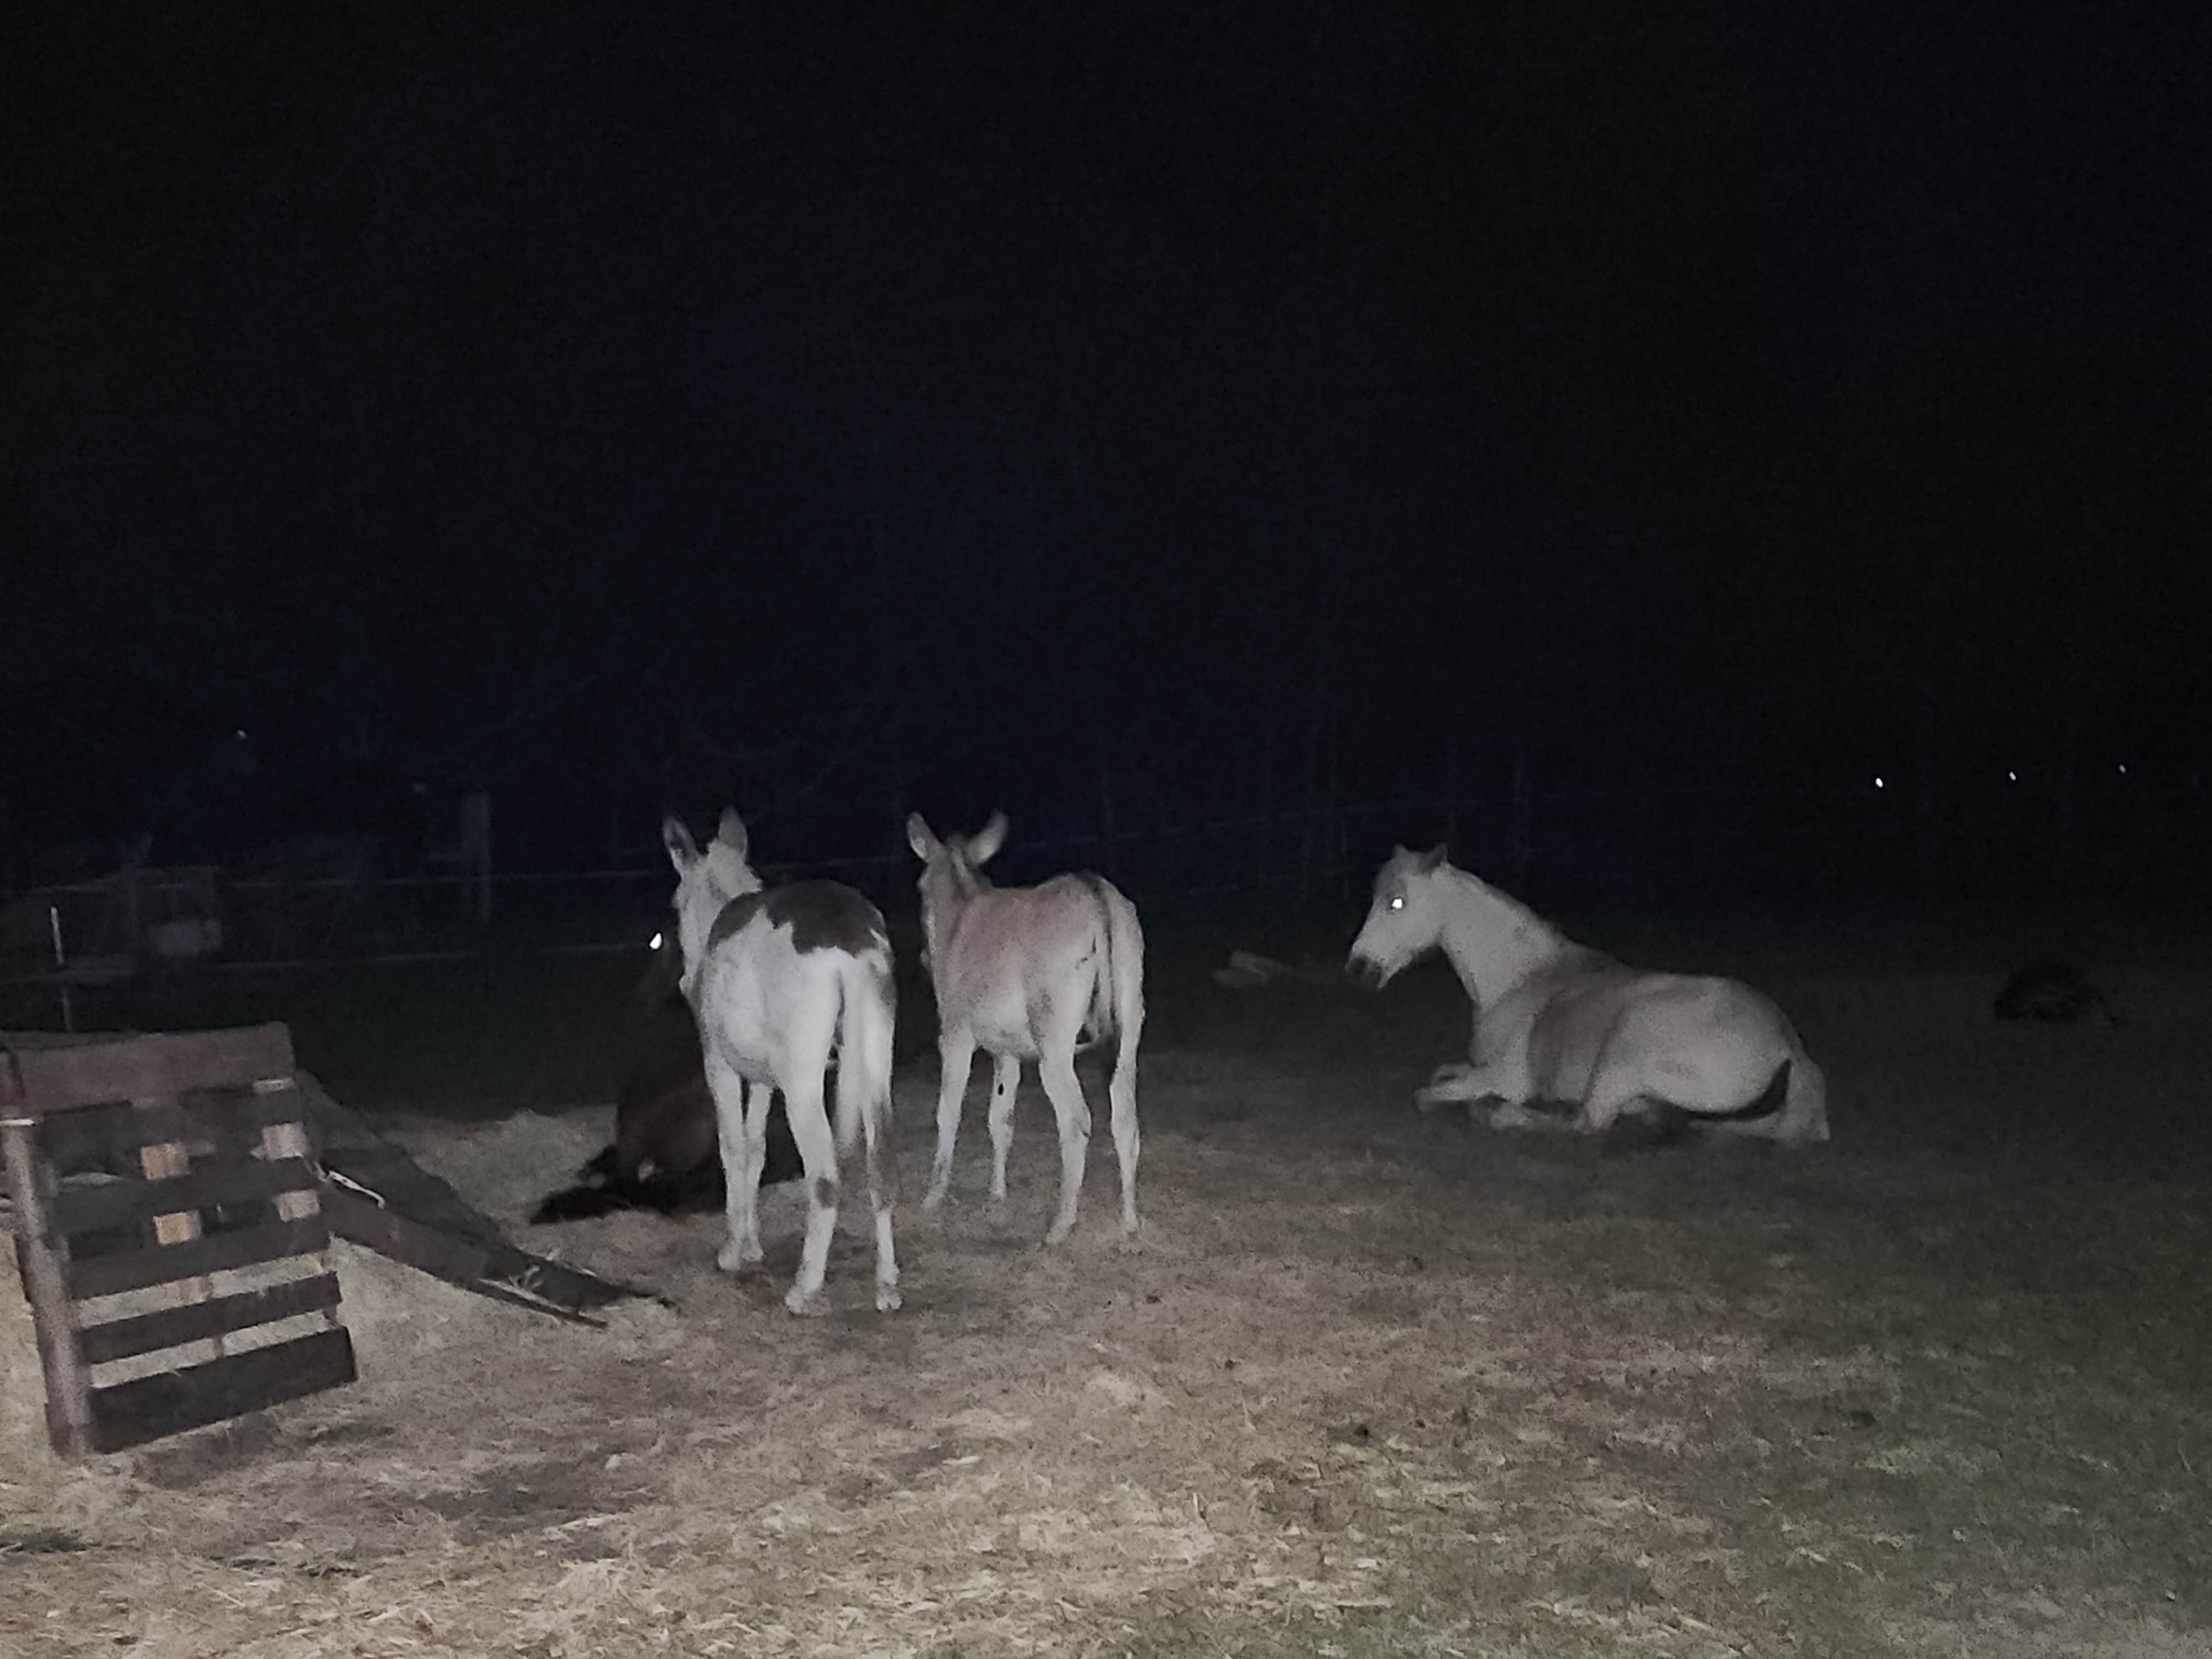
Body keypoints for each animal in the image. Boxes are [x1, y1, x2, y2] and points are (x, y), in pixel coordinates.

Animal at [663, 808, 900, 1313]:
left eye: (676, 904)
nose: (685, 982)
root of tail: (849, 943)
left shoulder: (720, 1065)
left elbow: (733, 1148)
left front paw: (733, 1249)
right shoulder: (763, 1078)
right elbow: (756, 1148)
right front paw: (752, 1244)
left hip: (803, 1077)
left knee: (825, 1176)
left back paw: (805, 1287)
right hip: (875, 1054)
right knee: (882, 1162)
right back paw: (887, 1285)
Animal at [906, 812, 1145, 1242]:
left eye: (919, 888)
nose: (922, 959)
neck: (960, 913)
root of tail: (1095, 893)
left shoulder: (955, 1036)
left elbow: (948, 1112)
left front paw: (934, 1196)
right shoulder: (1007, 1051)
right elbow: (1001, 1118)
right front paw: (997, 1194)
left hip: (1055, 1046)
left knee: (1077, 1121)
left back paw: (1061, 1224)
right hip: (1130, 1026)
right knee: (1126, 1120)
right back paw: (1129, 1220)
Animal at [1347, 845, 1829, 1145]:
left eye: (1396, 902)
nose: (1358, 969)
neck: (1521, 980)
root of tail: (1788, 1047)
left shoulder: (1507, 1078)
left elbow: (1427, 1095)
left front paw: (1482, 1105)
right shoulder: (1477, 1067)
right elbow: (1441, 1075)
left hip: (1626, 1042)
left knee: (1587, 1123)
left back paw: (1502, 1114)